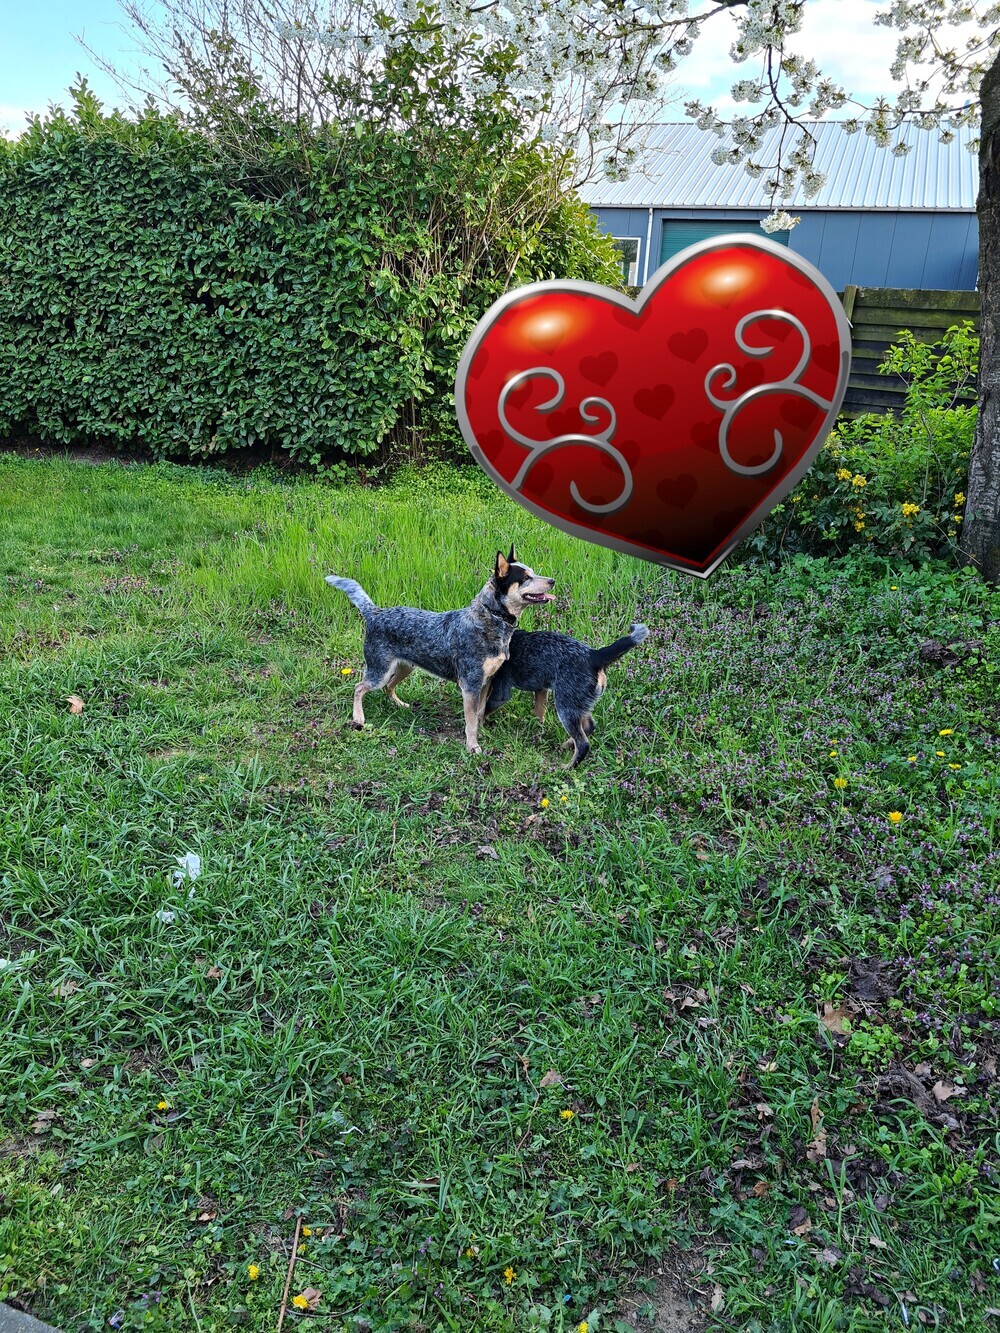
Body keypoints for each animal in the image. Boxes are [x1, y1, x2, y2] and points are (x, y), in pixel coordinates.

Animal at [326, 547, 555, 753]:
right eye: (525, 578)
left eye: (533, 571)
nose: (552, 580)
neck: (490, 619)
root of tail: (375, 613)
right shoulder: (470, 685)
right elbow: (471, 722)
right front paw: (473, 747)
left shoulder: (486, 682)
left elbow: (479, 714)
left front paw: (481, 734)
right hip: (379, 671)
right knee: (359, 687)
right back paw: (358, 717)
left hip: (404, 668)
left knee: (388, 687)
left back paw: (400, 705)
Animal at [485, 623, 649, 767]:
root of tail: (594, 655)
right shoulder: (541, 689)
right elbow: (539, 715)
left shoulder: (500, 693)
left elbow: (483, 711)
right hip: (577, 704)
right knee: (589, 727)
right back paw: (567, 745)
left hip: (565, 707)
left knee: (583, 744)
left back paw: (567, 768)